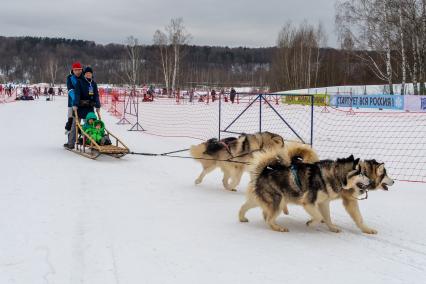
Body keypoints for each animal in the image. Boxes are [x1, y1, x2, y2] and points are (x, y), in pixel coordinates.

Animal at [238, 151, 372, 233]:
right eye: (361, 173)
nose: (370, 181)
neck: (331, 175)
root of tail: (263, 172)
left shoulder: (323, 203)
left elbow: (327, 217)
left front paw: (332, 228)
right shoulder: (308, 202)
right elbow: (318, 216)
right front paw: (310, 223)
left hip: (261, 200)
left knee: (245, 207)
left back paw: (242, 217)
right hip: (278, 201)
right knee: (268, 219)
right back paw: (279, 228)